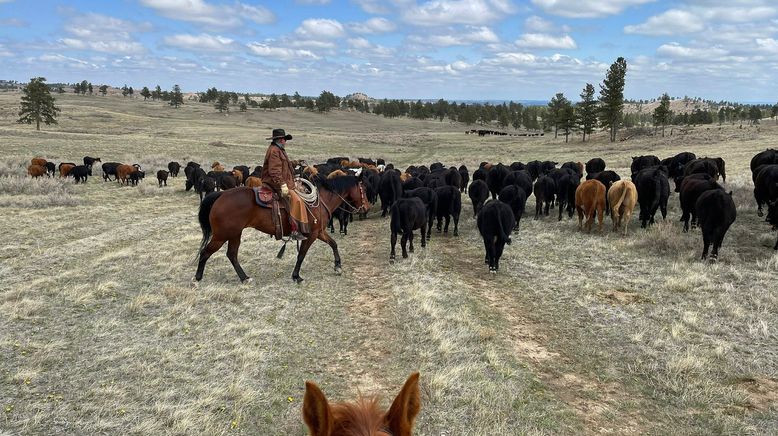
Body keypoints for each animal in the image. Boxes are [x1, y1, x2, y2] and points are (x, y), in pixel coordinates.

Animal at [191, 175, 366, 284]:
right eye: (363, 189)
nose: (365, 207)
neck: (319, 202)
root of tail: (220, 195)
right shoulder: (311, 235)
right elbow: (301, 255)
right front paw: (296, 276)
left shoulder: (319, 232)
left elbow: (333, 244)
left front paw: (337, 266)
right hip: (221, 236)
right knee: (206, 253)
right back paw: (197, 279)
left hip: (234, 234)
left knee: (231, 255)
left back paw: (244, 278)